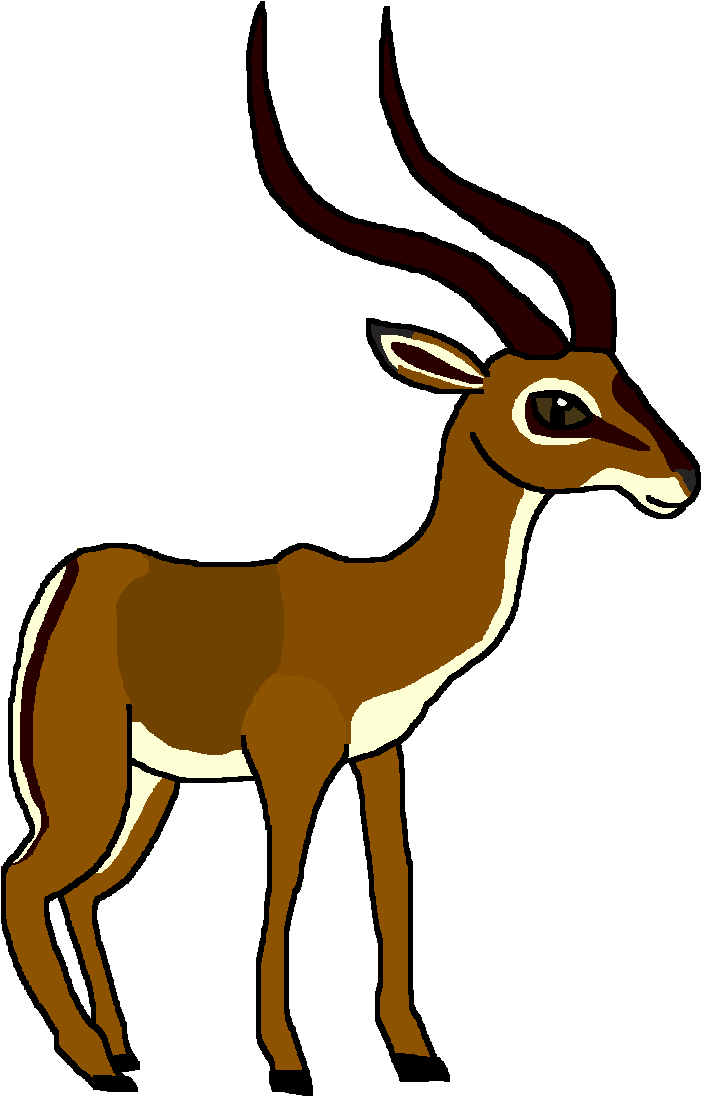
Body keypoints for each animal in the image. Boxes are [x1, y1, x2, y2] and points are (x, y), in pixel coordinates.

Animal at [6, 17, 694, 1077]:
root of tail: (77, 577)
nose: (678, 479)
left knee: (81, 892)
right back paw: (86, 1052)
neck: (388, 601)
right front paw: (283, 1051)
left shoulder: (381, 756)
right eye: (554, 406)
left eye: (617, 380)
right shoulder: (292, 764)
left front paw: (408, 1043)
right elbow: (285, 884)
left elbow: (393, 879)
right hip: (87, 777)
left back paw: (117, 1042)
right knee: (25, 883)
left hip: (147, 784)